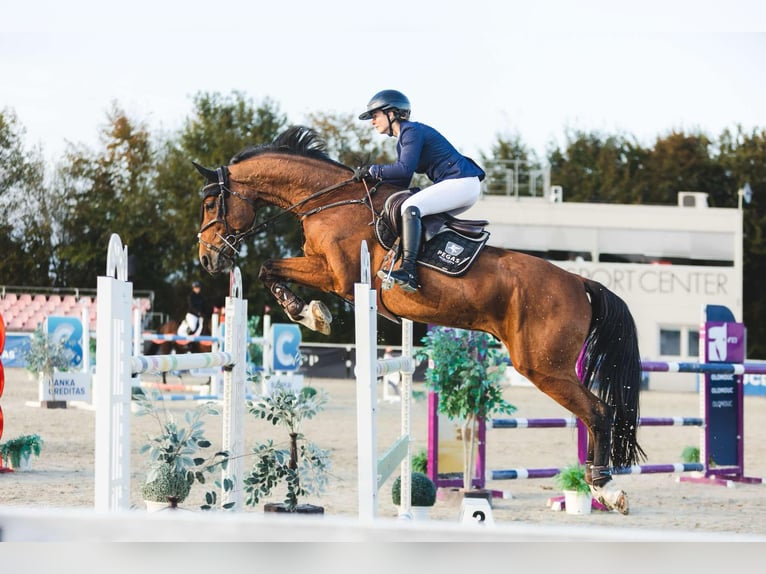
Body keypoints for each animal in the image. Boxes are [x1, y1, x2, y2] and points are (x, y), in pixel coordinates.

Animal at [195, 125, 644, 512]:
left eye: (209, 203)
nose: (207, 259)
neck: (329, 203)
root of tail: (579, 281)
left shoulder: (337, 275)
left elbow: (268, 267)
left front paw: (308, 312)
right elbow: (269, 269)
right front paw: (307, 311)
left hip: (543, 366)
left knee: (598, 412)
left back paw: (605, 487)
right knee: (595, 413)